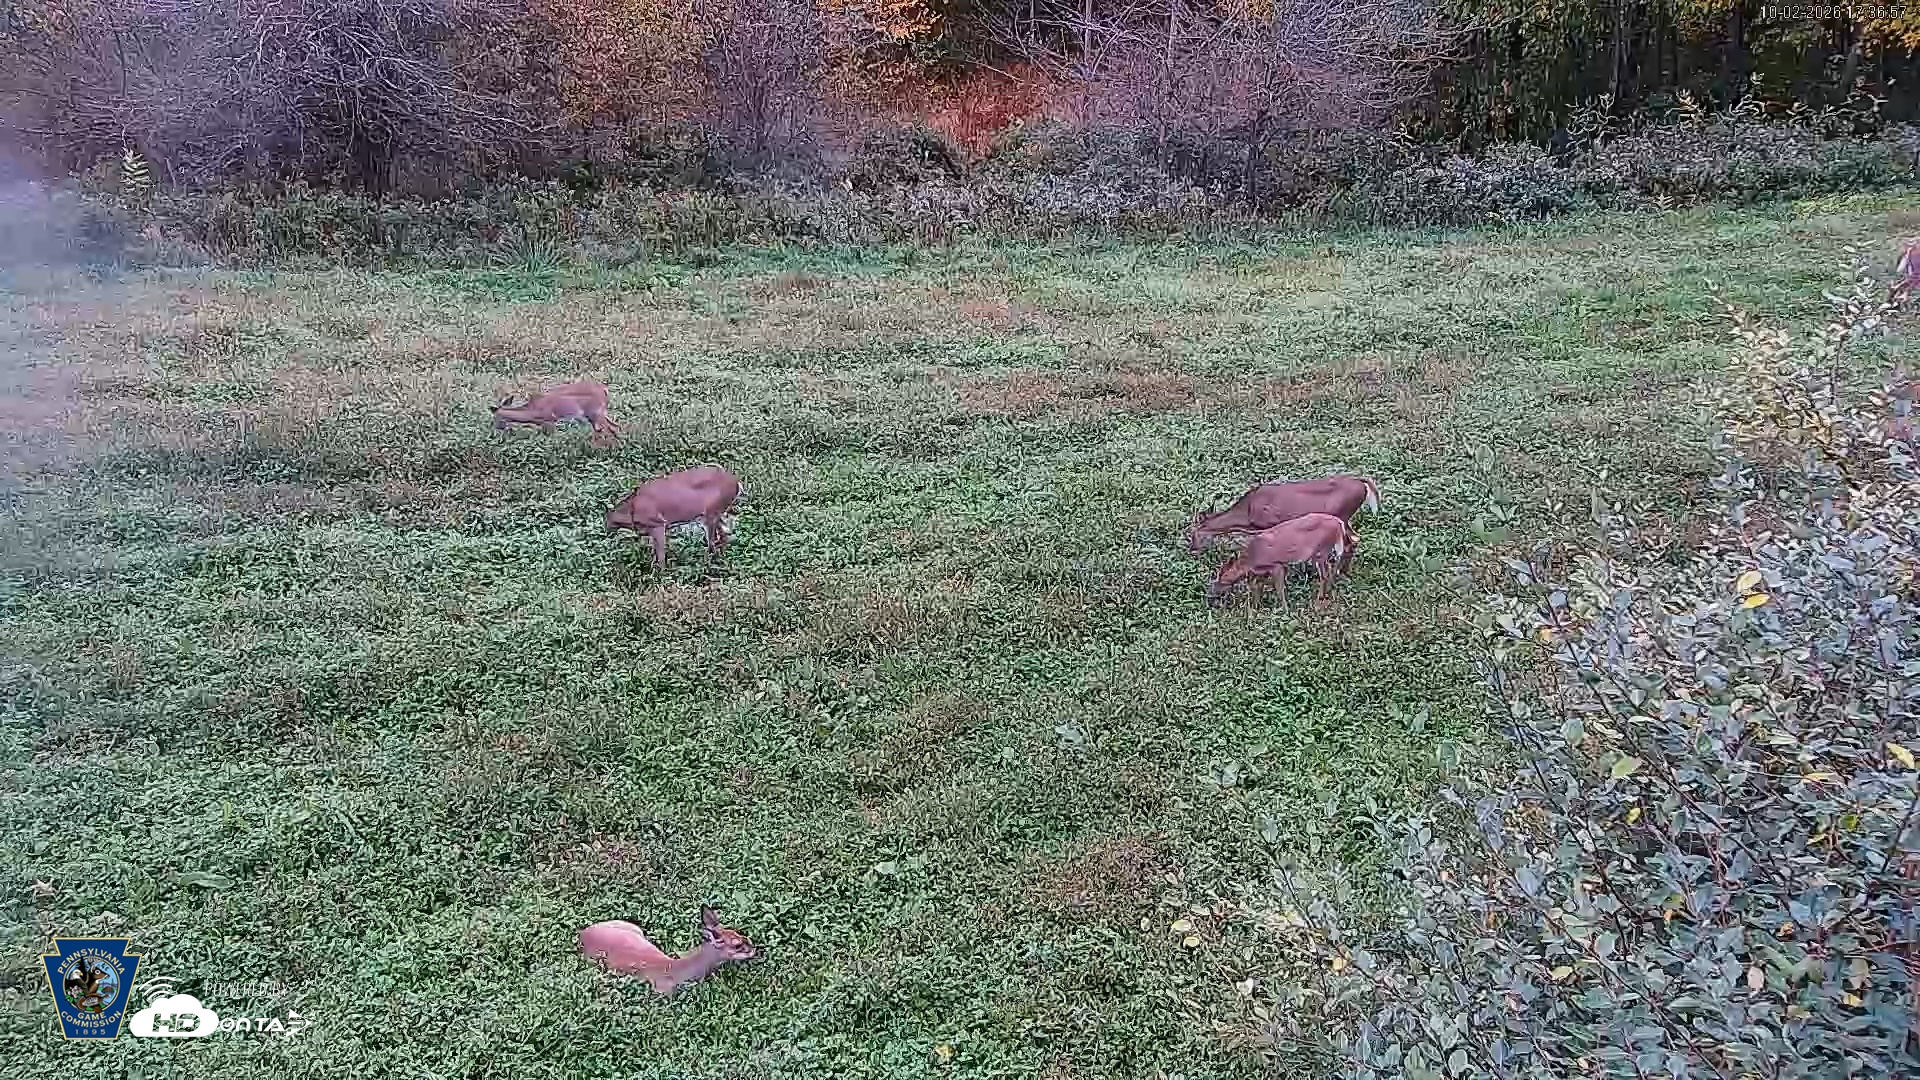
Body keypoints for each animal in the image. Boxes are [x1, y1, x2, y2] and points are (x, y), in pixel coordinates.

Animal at [491, 381, 620, 444]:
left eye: (495, 418)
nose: (497, 428)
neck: (532, 410)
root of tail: (604, 390)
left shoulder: (550, 419)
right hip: (599, 414)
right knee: (613, 427)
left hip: (595, 412)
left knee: (609, 429)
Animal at [606, 466, 742, 569]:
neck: (632, 510)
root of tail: (737, 483)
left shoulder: (658, 524)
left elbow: (661, 555)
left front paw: (661, 574)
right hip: (715, 513)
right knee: (724, 533)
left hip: (711, 512)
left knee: (713, 540)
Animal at [1185, 474, 1378, 559]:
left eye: (1192, 533)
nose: (1192, 549)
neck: (1247, 513)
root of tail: (1362, 483)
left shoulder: (1271, 524)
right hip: (1345, 518)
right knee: (1355, 538)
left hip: (1342, 514)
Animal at [1205, 512, 1358, 611]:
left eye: (1221, 579)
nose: (1210, 595)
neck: (1251, 559)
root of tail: (1339, 524)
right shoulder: (1266, 569)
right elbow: (1257, 586)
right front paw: (1255, 607)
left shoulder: (1277, 565)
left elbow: (1279, 588)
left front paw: (1285, 610)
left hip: (1322, 550)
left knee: (1325, 573)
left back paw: (1319, 600)